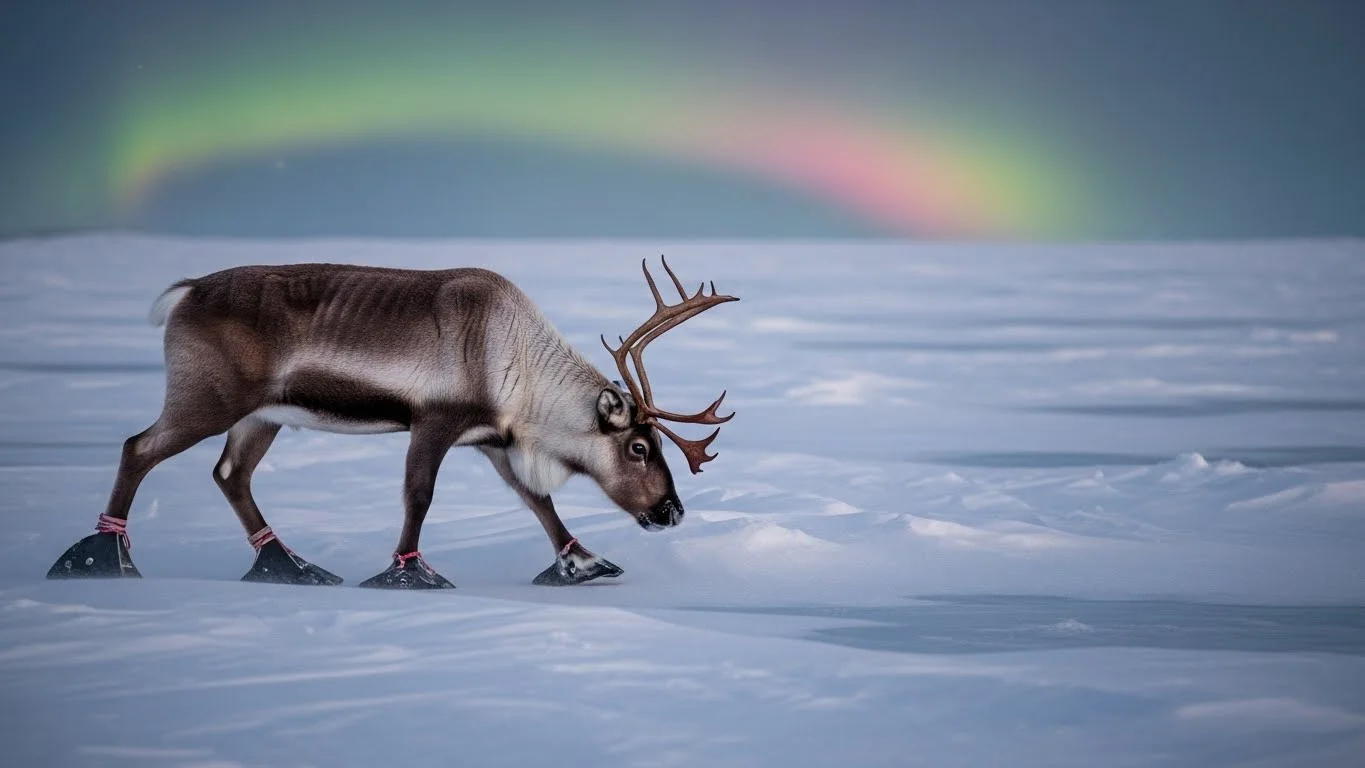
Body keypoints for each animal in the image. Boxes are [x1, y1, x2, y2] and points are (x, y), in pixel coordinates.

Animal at [46, 257, 738, 588]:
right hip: (207, 399)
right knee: (138, 447)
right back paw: (104, 556)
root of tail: (184, 291)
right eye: (640, 446)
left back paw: (291, 566)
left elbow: (539, 502)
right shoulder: (434, 422)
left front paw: (585, 563)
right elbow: (419, 496)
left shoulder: (493, 441)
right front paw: (407, 572)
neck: (516, 365)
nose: (673, 511)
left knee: (229, 474)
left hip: (262, 416)